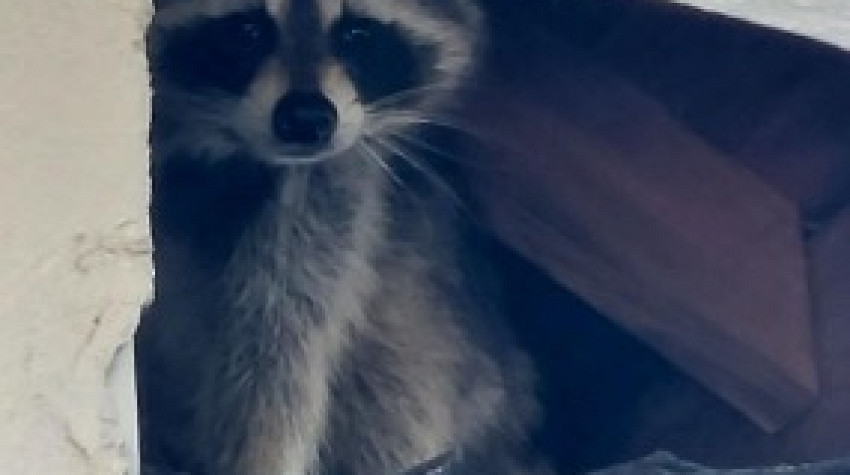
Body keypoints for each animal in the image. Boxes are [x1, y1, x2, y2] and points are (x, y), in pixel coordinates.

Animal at [137, 1, 542, 473]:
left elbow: (281, 346)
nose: (306, 118)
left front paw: (260, 455)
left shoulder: (336, 187)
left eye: (357, 34)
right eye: (247, 31)